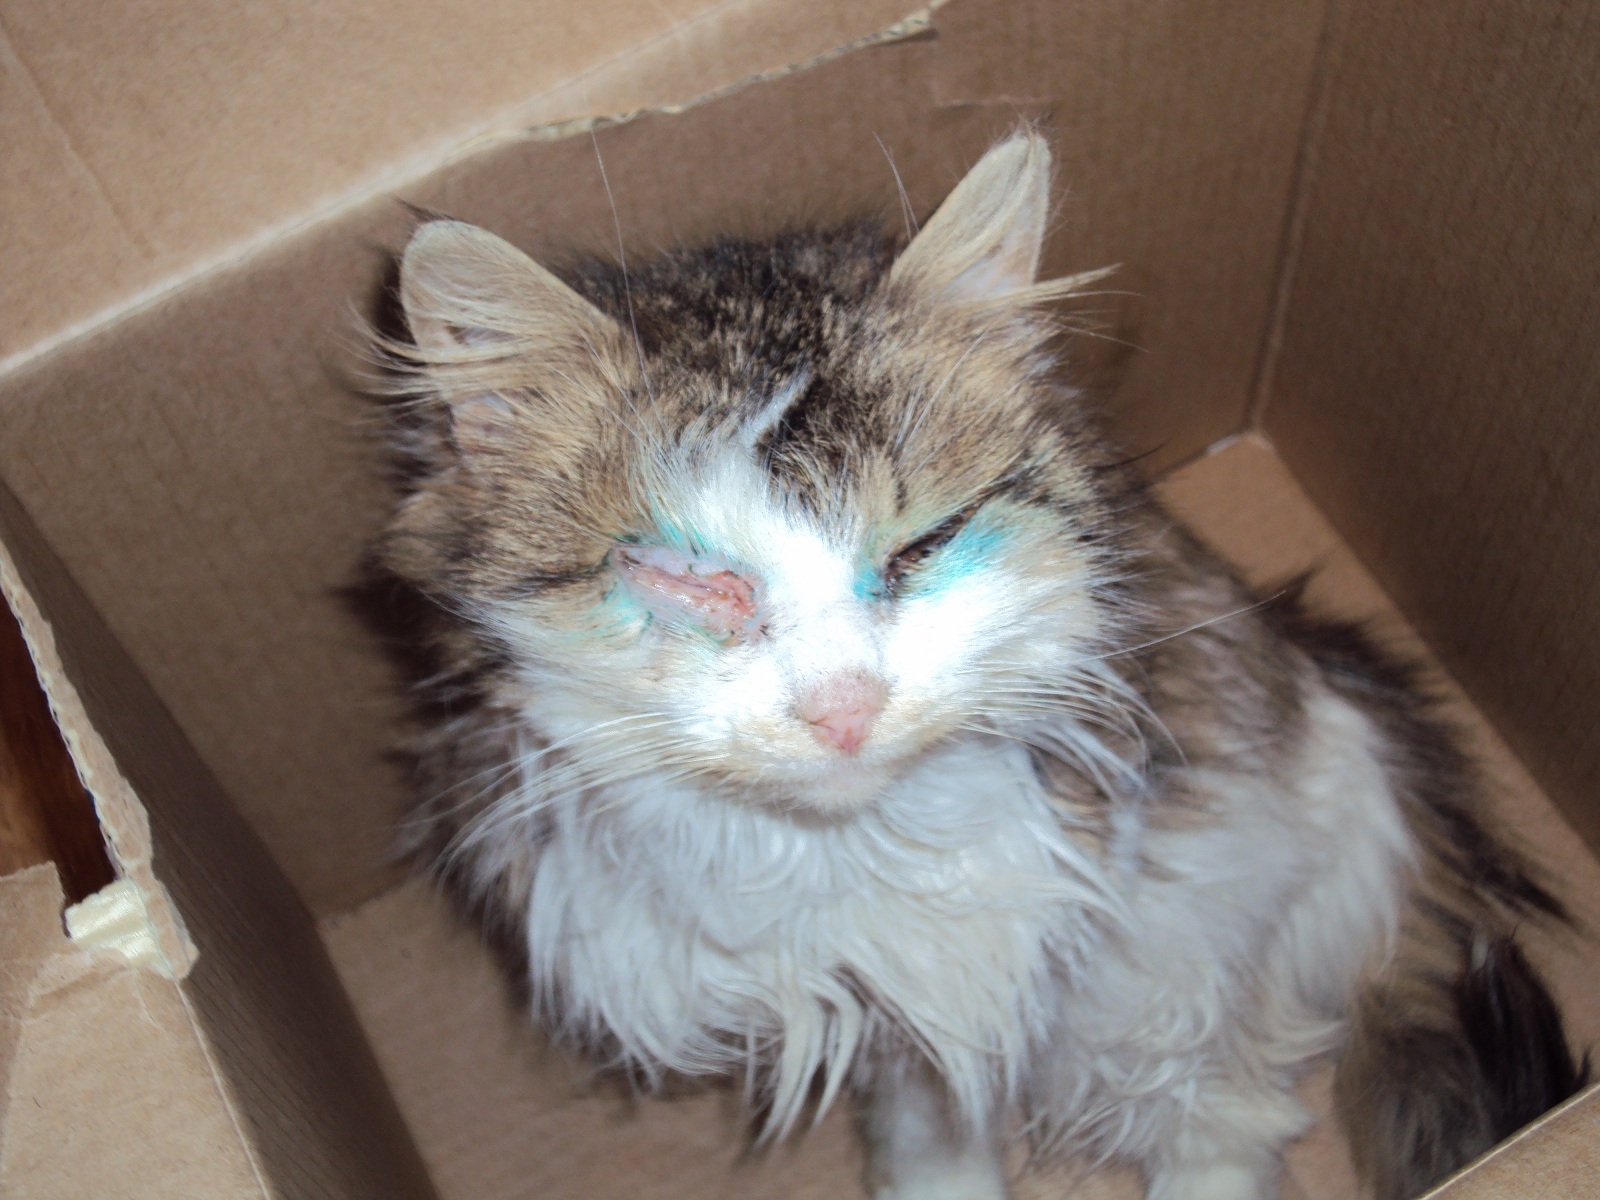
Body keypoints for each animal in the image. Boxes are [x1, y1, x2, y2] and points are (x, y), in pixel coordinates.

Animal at [371, 131, 1585, 1200]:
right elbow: (929, 1122)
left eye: (925, 544)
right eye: (686, 574)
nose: (845, 707)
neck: (842, 859)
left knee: (1233, 1099)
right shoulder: (883, 1008)